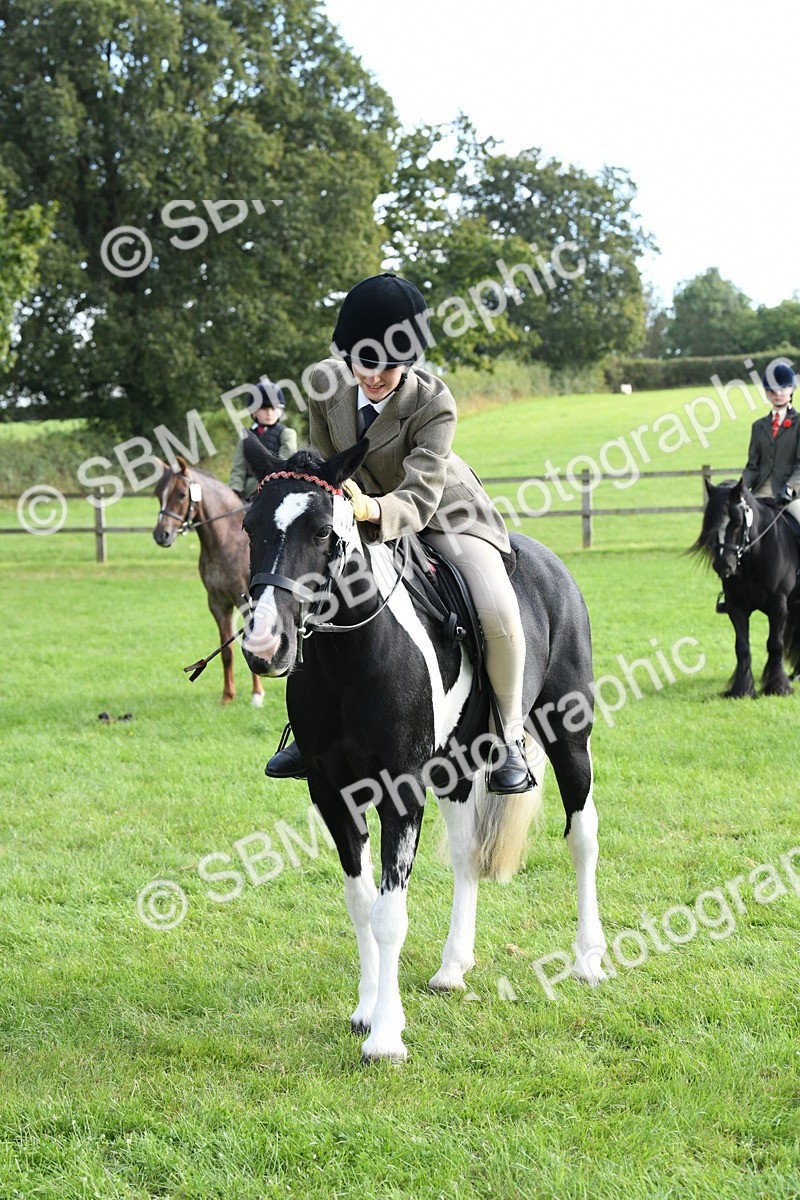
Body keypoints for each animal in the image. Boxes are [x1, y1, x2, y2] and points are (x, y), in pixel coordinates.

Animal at [153, 455, 265, 707]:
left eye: (181, 494)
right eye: (158, 494)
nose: (161, 535)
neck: (227, 541)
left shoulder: (246, 604)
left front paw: (257, 695)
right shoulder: (217, 604)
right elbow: (227, 653)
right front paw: (227, 696)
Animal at [241, 439, 608, 1063]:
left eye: (323, 531)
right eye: (248, 526)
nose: (265, 645)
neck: (348, 660)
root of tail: (548, 563)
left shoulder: (400, 790)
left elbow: (390, 913)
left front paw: (386, 1038)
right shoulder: (332, 792)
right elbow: (361, 901)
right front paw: (366, 1010)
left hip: (568, 735)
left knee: (582, 836)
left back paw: (587, 959)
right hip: (454, 765)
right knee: (465, 855)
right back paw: (452, 968)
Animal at [691, 478, 800, 697]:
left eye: (738, 522)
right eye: (710, 523)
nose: (723, 566)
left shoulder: (778, 606)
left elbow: (775, 645)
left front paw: (778, 686)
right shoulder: (736, 606)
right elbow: (742, 647)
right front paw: (742, 689)